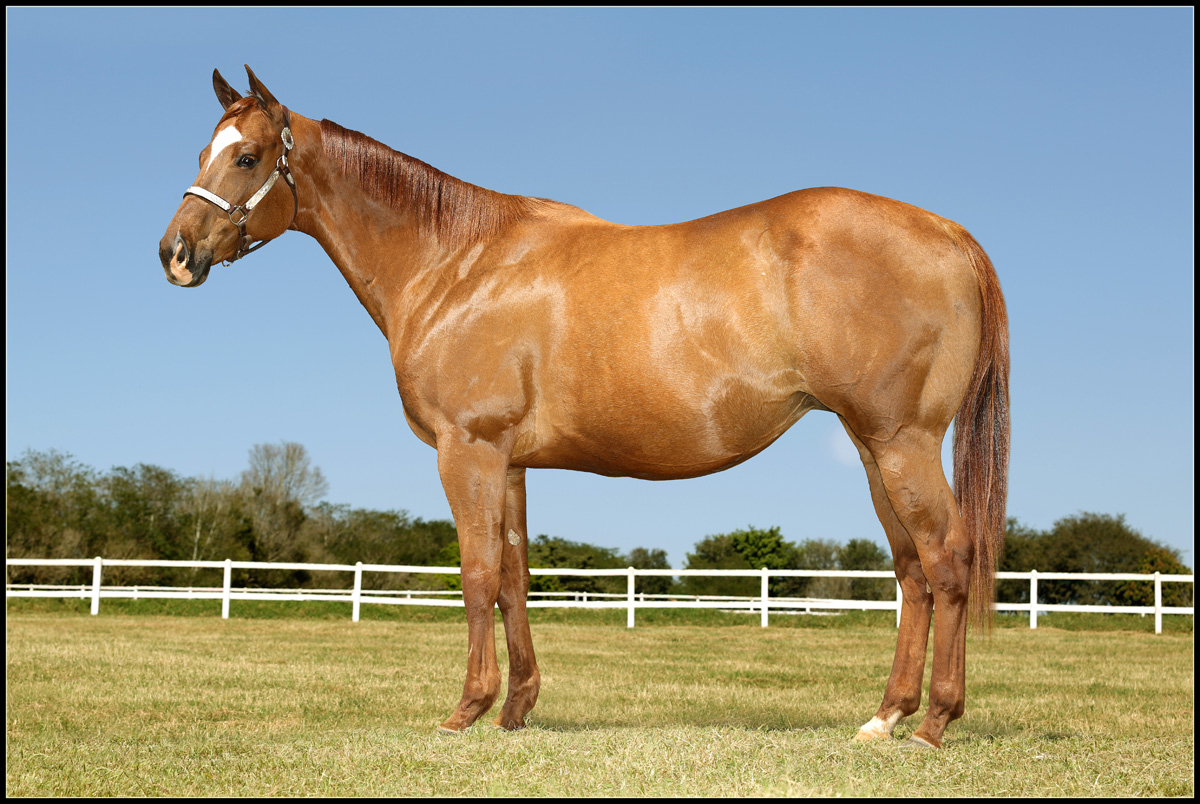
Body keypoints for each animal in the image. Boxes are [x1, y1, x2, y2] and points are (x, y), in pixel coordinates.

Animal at [157, 66, 1003, 753]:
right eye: (204, 150)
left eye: (246, 157)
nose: (175, 254)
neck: (457, 263)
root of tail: (949, 233)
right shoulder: (509, 462)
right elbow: (513, 576)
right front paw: (515, 710)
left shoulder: (468, 450)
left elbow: (475, 574)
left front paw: (465, 711)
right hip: (871, 446)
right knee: (912, 573)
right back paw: (885, 717)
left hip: (901, 442)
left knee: (947, 559)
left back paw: (933, 723)